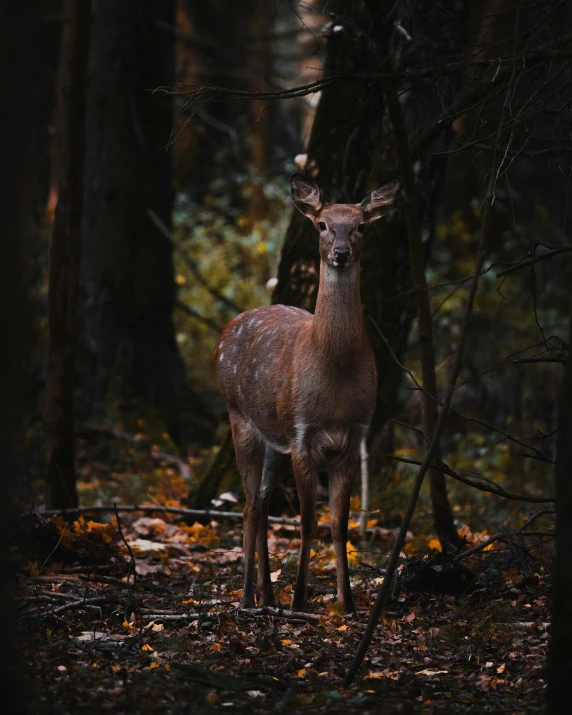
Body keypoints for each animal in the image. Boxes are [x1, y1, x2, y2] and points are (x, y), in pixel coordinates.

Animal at [214, 175, 398, 616]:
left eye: (361, 226)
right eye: (322, 224)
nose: (341, 253)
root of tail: (226, 330)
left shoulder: (354, 436)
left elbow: (339, 523)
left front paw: (347, 604)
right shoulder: (301, 433)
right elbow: (308, 521)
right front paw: (299, 600)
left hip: (274, 441)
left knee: (263, 502)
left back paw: (265, 594)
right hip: (239, 416)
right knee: (250, 504)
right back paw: (247, 597)